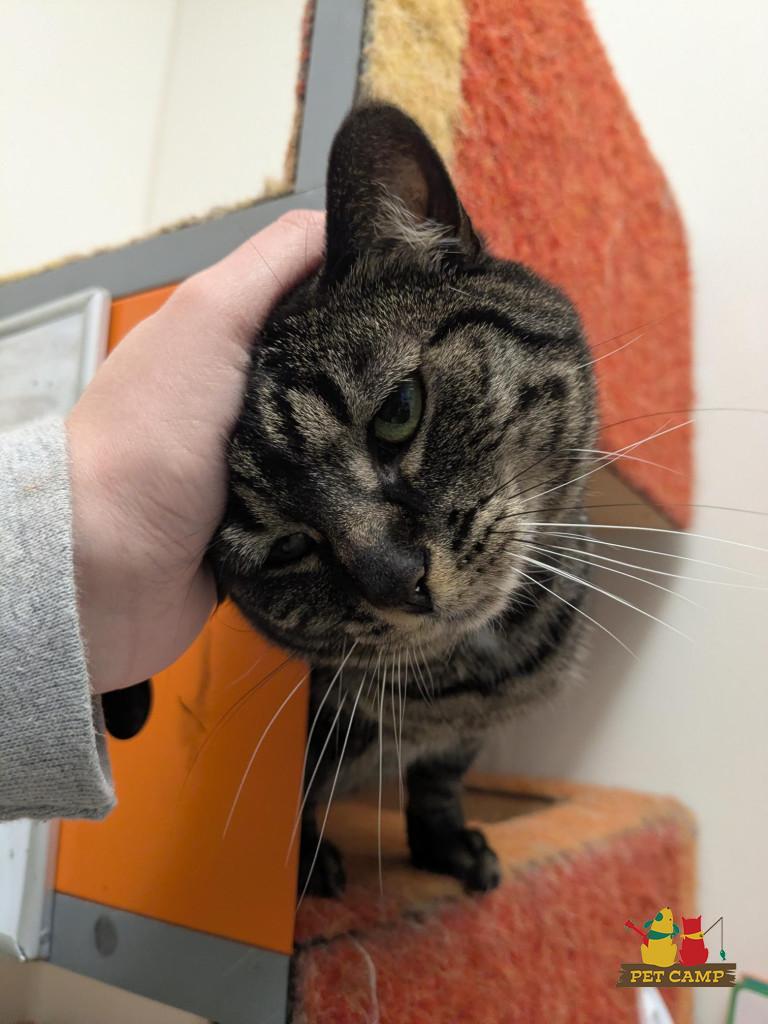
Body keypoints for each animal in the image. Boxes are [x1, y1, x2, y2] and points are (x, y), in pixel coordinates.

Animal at [210, 102, 598, 897]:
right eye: (286, 546)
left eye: (398, 411)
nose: (402, 580)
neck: (482, 676)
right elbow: (300, 795)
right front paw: (307, 865)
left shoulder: (463, 738)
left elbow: (441, 777)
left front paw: (447, 846)